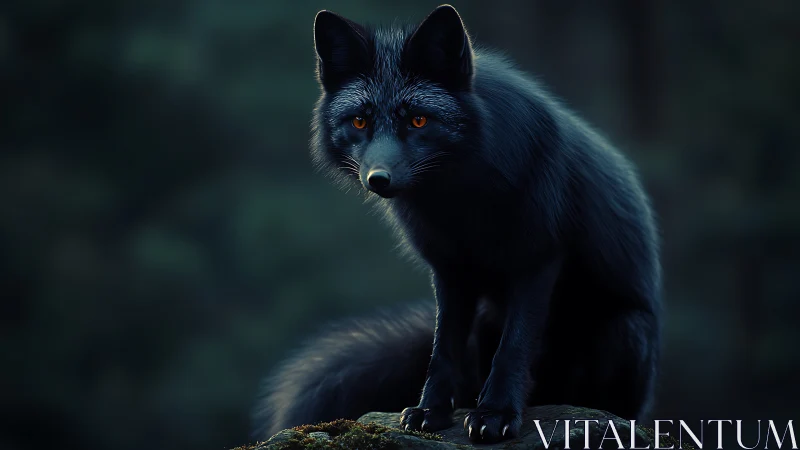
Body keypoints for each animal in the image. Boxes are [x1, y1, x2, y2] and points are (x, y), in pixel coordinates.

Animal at [253, 4, 662, 444]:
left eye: (418, 121)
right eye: (360, 122)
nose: (378, 179)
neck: (460, 204)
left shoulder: (537, 259)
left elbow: (513, 347)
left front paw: (495, 415)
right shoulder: (450, 270)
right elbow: (441, 349)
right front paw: (431, 411)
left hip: (626, 332)